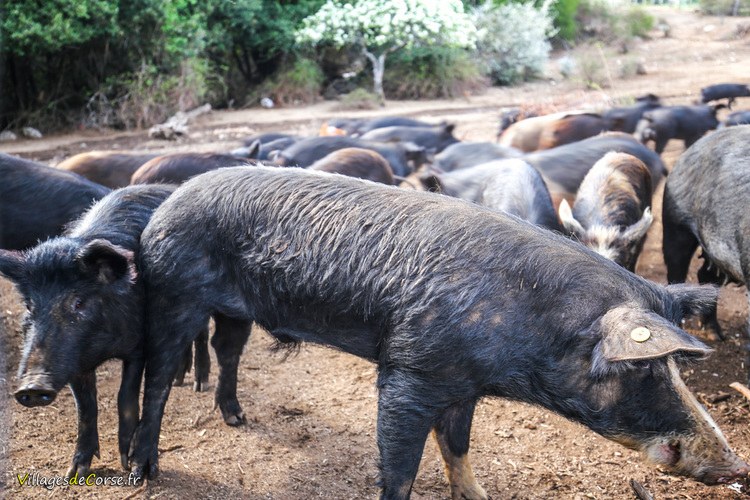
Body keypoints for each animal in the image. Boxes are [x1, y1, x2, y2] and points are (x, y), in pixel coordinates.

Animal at [126, 167, 748, 496]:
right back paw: (142, 470)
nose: (734, 464)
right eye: (643, 367)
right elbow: (401, 468)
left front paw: (478, 494)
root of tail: (168, 201)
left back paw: (236, 418)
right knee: (157, 378)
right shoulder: (409, 371)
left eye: (675, 366)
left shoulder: (461, 386)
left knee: (226, 351)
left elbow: (457, 447)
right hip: (173, 293)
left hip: (233, 312)